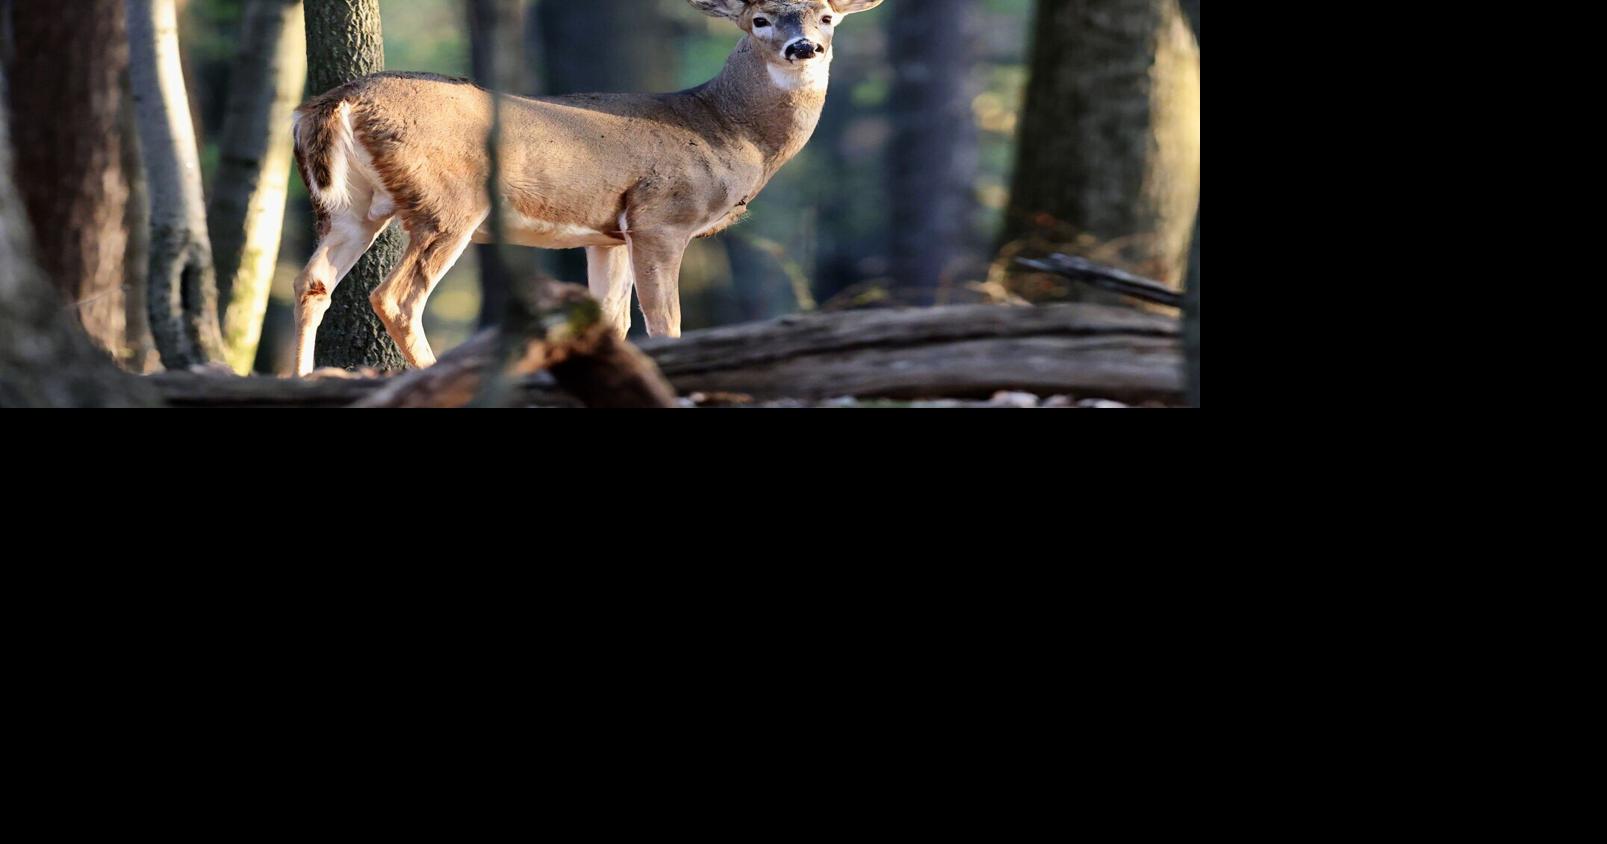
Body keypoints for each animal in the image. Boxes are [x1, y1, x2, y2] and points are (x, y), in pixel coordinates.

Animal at [288, 0, 885, 377]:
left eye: (826, 16)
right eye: (759, 19)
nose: (804, 48)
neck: (725, 129)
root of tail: (338, 99)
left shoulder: (606, 235)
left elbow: (612, 321)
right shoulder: (660, 217)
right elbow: (664, 321)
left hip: (348, 206)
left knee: (312, 282)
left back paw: (300, 377)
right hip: (448, 204)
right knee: (395, 296)